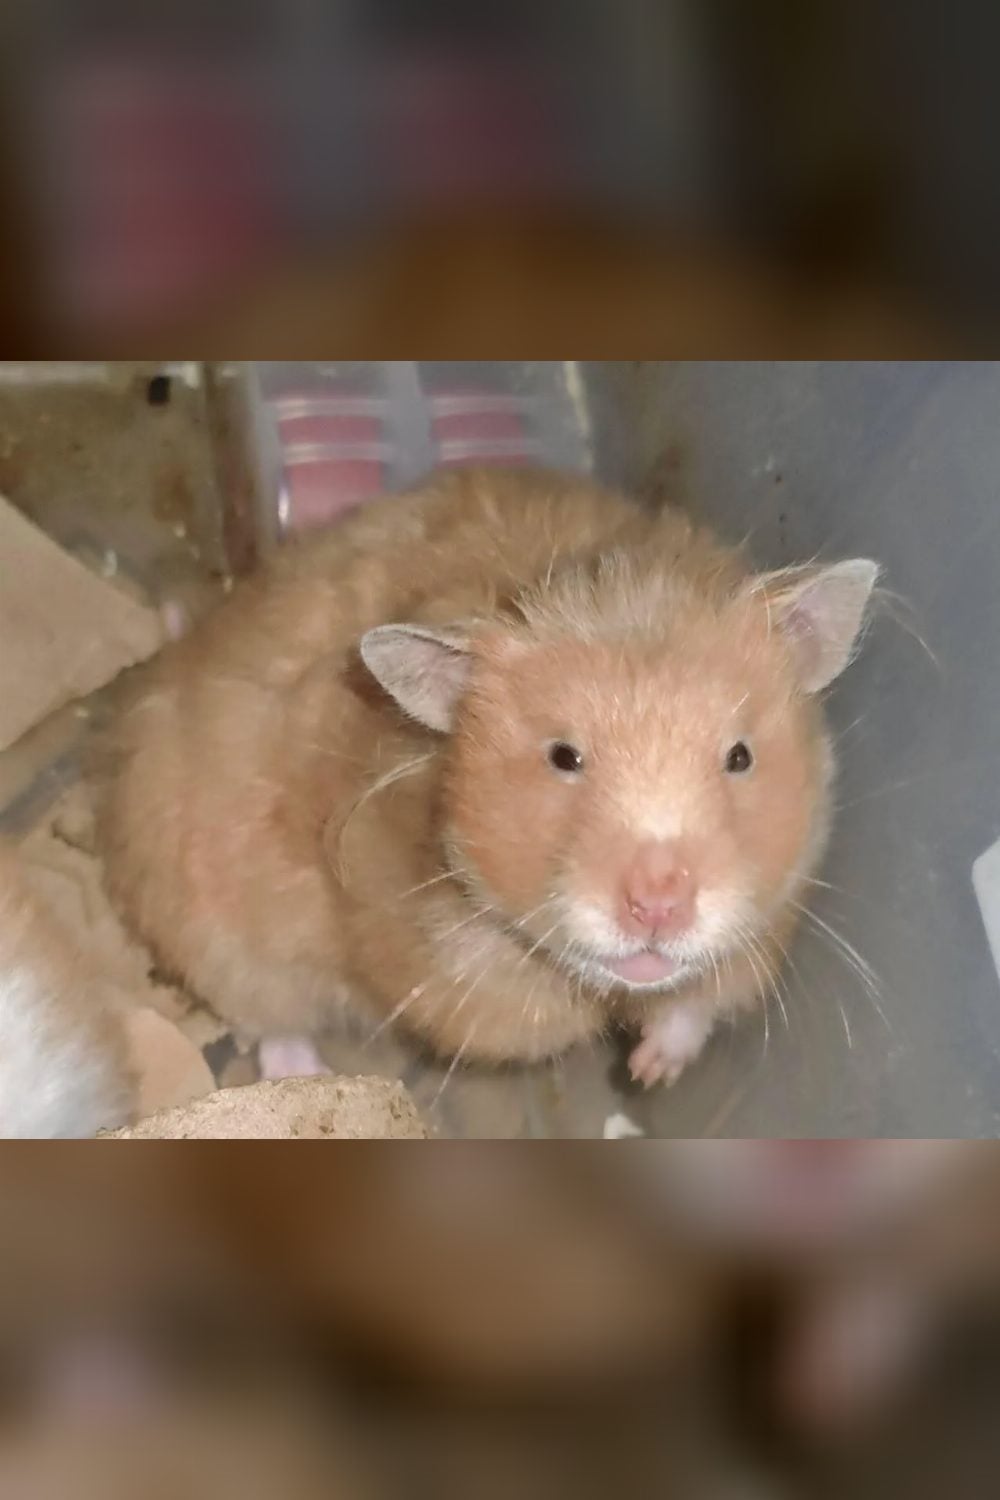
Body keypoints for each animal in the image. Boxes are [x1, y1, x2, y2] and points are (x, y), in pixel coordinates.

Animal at [98, 465, 878, 1086]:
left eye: (740, 757)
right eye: (563, 758)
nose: (658, 908)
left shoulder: (775, 911)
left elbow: (697, 1000)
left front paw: (650, 1069)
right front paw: (624, 1049)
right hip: (215, 930)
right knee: (268, 1019)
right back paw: (304, 1074)